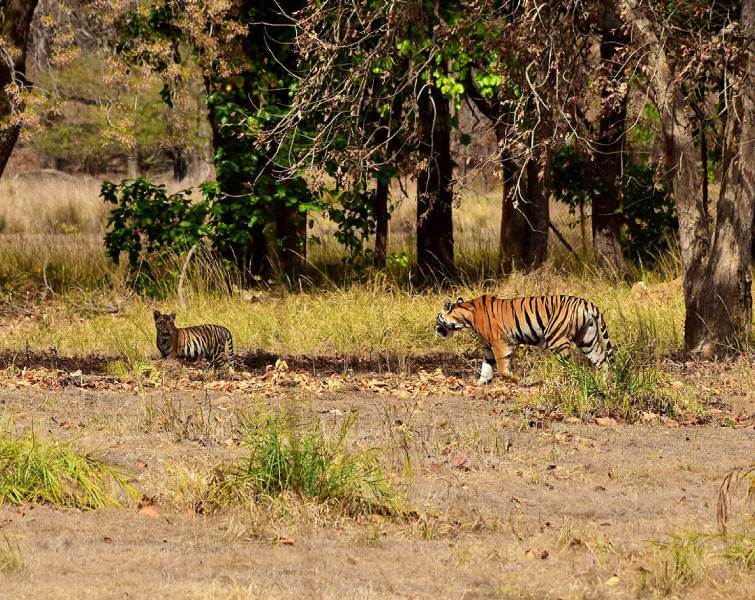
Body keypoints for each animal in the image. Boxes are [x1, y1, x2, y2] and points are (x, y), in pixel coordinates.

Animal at [438, 296, 616, 384]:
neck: (466, 316)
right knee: (602, 361)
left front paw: (522, 380)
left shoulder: (499, 343)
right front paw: (480, 383)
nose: (436, 329)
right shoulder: (488, 347)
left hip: (557, 339)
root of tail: (587, 303)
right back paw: (606, 383)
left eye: (438, 318)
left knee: (570, 365)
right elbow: (486, 366)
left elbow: (502, 369)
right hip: (587, 339)